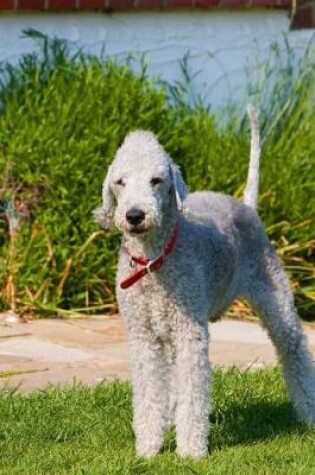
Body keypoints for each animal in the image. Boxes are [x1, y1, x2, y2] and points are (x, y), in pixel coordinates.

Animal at [95, 109, 314, 462]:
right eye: (120, 182)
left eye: (156, 181)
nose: (135, 215)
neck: (155, 261)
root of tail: (245, 205)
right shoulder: (144, 336)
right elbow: (149, 393)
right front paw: (148, 448)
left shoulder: (190, 333)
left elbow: (193, 391)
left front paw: (190, 451)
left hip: (275, 296)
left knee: (293, 350)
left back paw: (309, 414)